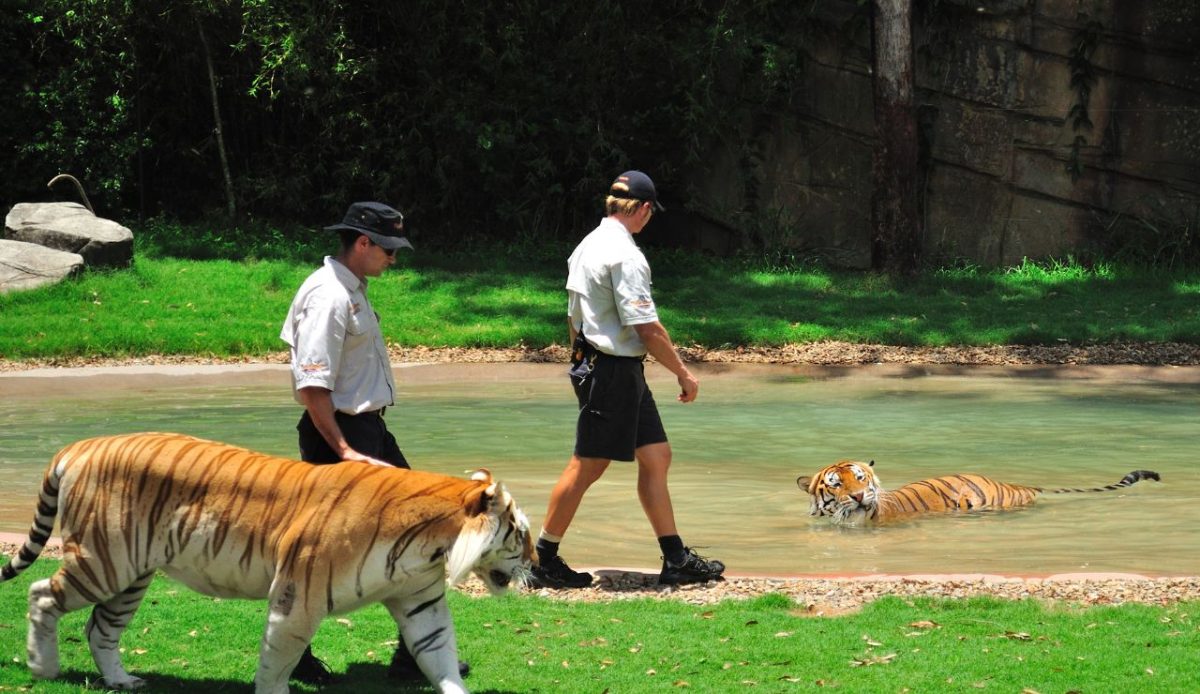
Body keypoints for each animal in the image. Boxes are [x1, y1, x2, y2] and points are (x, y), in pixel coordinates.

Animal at [0, 432, 534, 694]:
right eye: (522, 533)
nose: (538, 561)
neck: (431, 545)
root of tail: (79, 445)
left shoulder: (420, 602)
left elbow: (438, 653)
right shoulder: (298, 596)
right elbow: (278, 662)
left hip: (130, 574)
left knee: (100, 628)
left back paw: (121, 681)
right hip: (103, 560)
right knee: (42, 594)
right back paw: (43, 667)